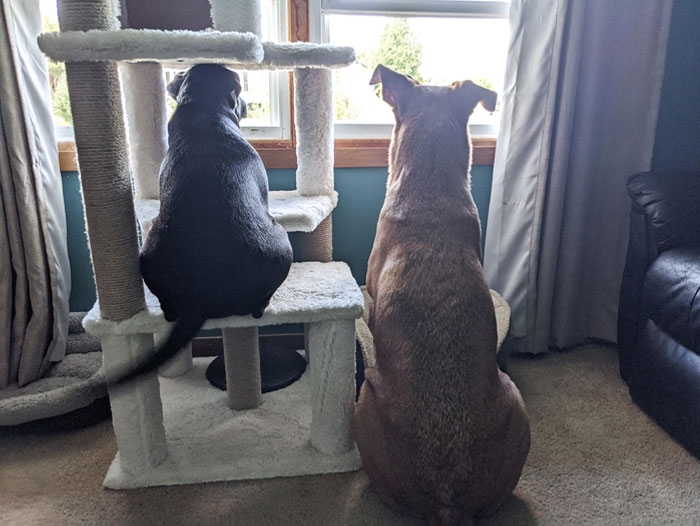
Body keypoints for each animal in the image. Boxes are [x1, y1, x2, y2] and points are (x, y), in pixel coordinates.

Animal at [112, 65, 292, 388]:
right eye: (239, 95)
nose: (245, 105)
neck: (203, 111)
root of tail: (200, 297)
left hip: (148, 254)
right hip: (283, 244)